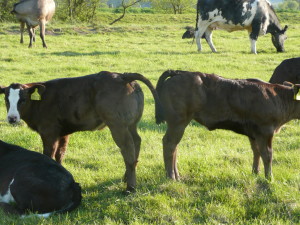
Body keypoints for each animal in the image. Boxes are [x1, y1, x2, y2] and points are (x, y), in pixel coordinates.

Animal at [0, 71, 164, 192]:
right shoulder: (63, 132)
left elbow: (49, 155)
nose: (12, 118)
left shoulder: (49, 132)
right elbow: (60, 154)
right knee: (137, 142)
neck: (40, 102)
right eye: (6, 100)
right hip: (131, 124)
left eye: (23, 100)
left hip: (118, 125)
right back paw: (126, 177)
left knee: (128, 149)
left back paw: (130, 188)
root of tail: (122, 76)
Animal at [156, 70, 300, 181]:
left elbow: (256, 151)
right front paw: (269, 178)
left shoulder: (254, 133)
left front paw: (255, 173)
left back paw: (177, 175)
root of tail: (180, 72)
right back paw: (171, 176)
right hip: (178, 121)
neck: (278, 97)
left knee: (175, 146)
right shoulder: (265, 130)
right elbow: (267, 154)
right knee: (169, 143)